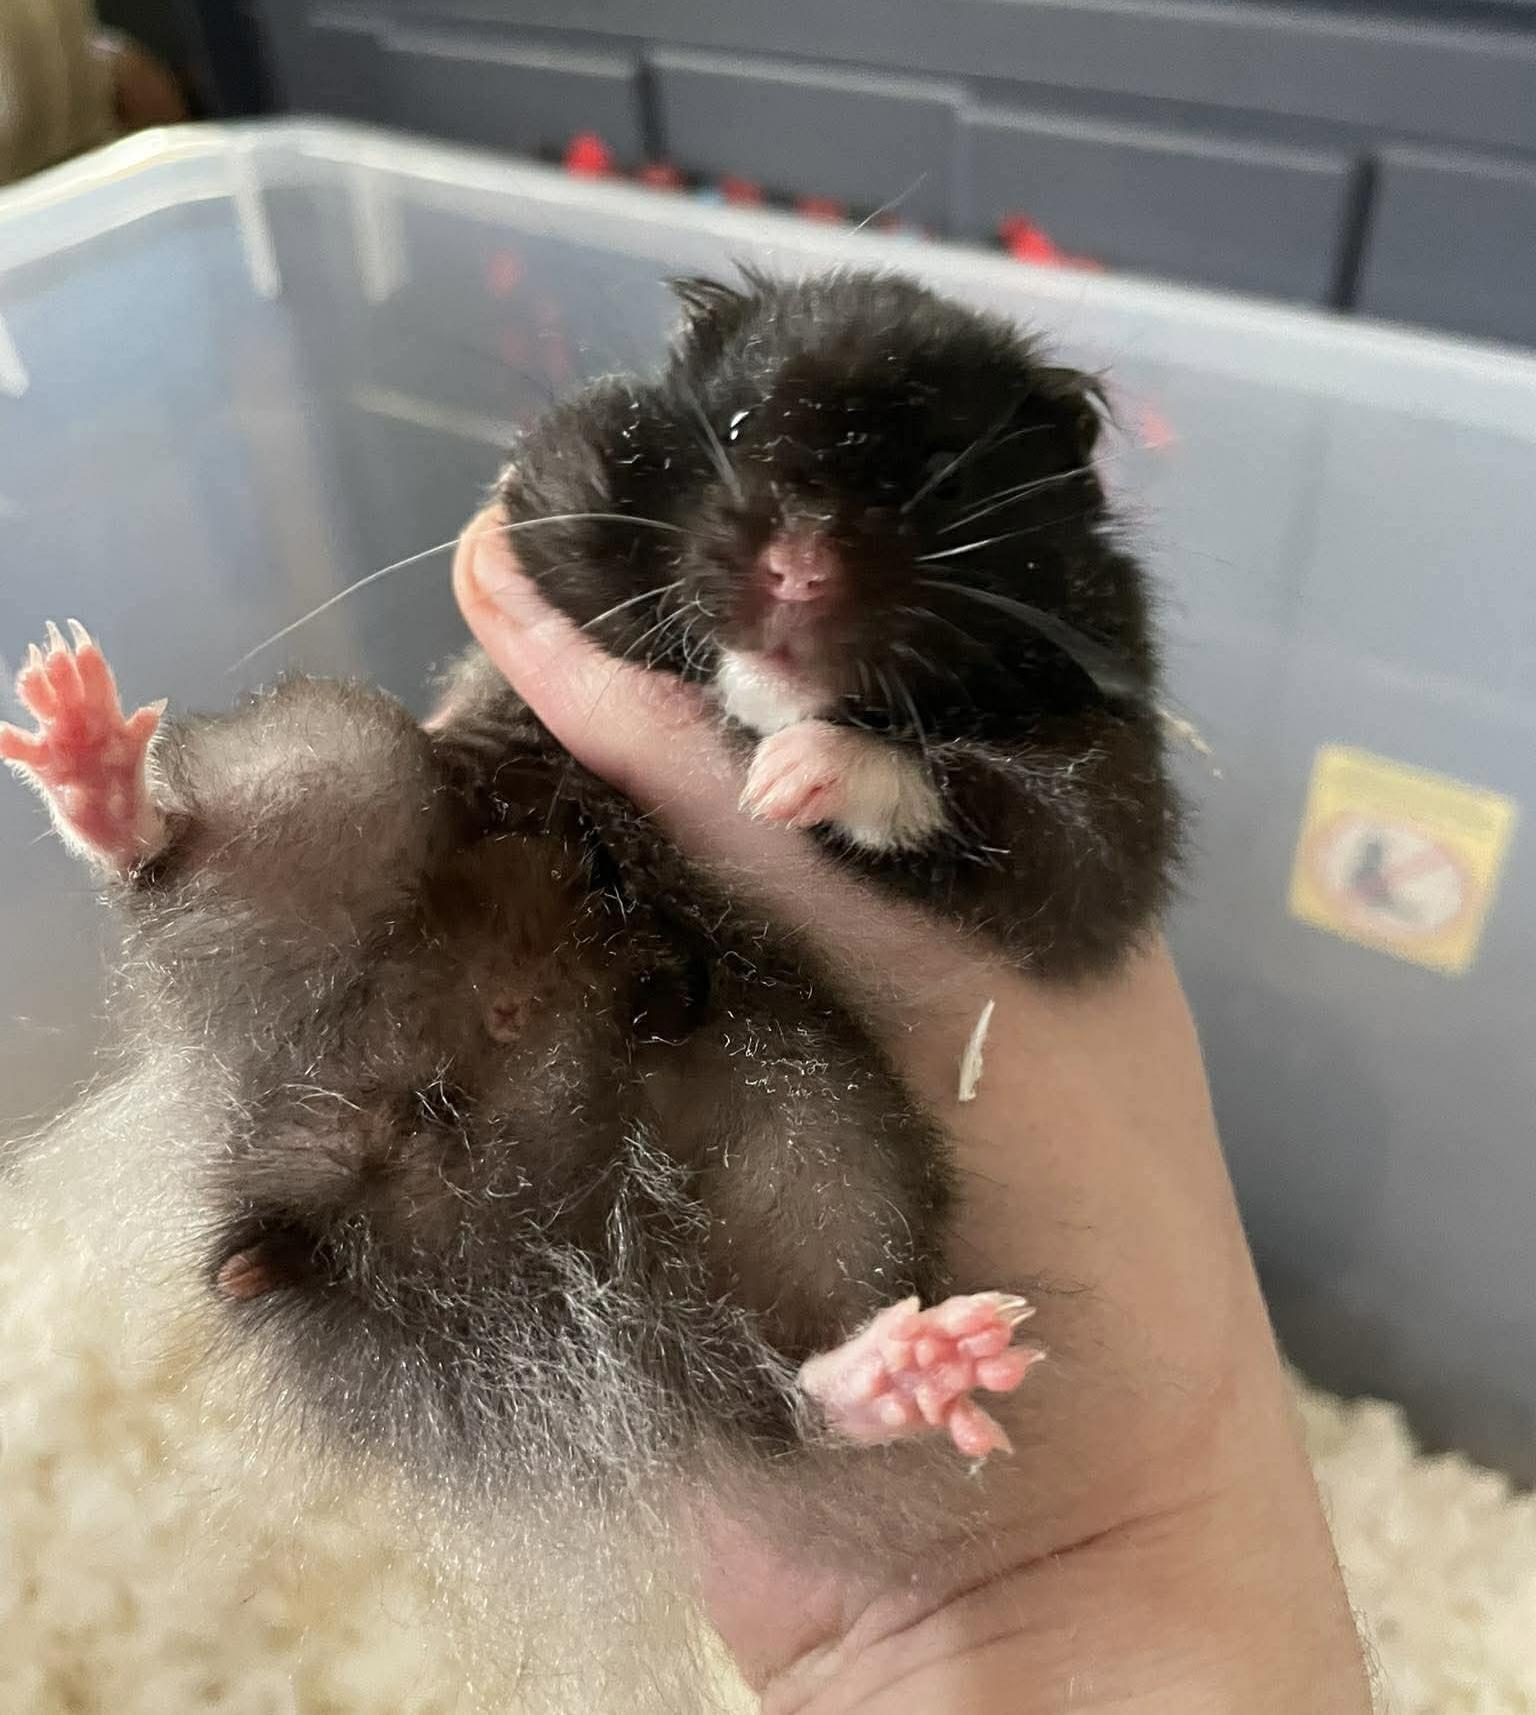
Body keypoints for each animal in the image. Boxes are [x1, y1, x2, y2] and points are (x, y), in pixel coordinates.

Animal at [494, 267, 1182, 978]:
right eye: (737, 430)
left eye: (945, 476)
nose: (800, 572)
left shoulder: (1113, 804)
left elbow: (1032, 824)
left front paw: (780, 782)